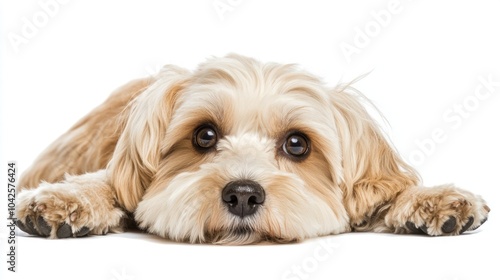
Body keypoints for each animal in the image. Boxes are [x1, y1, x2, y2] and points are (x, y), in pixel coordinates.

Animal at [14, 53, 488, 244]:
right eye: (204, 136)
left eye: (297, 143)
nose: (242, 195)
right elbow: (107, 179)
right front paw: (70, 198)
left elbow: (387, 191)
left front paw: (432, 199)